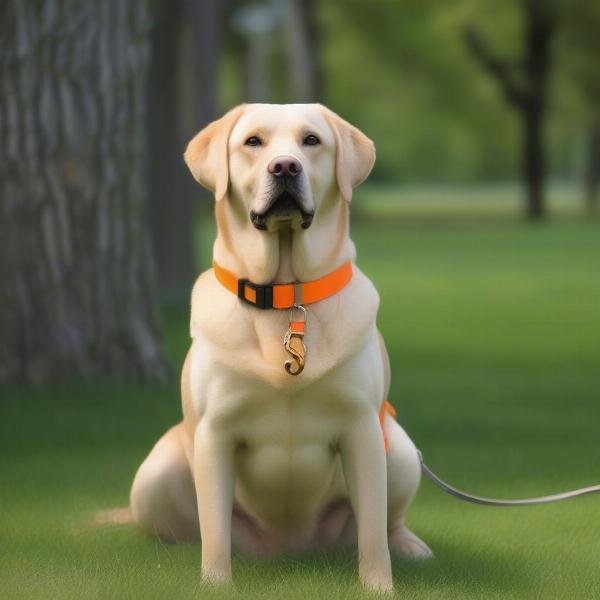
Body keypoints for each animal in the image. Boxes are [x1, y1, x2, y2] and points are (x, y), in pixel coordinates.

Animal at [131, 102, 432, 592]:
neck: (285, 296)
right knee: (186, 529)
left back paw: (410, 546)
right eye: (253, 141)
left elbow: (372, 531)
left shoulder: (363, 429)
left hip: (401, 450)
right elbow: (214, 530)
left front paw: (379, 588)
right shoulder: (214, 432)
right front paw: (216, 585)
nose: (286, 167)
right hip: (155, 474)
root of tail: (290, 548)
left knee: (386, 522)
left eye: (311, 140)